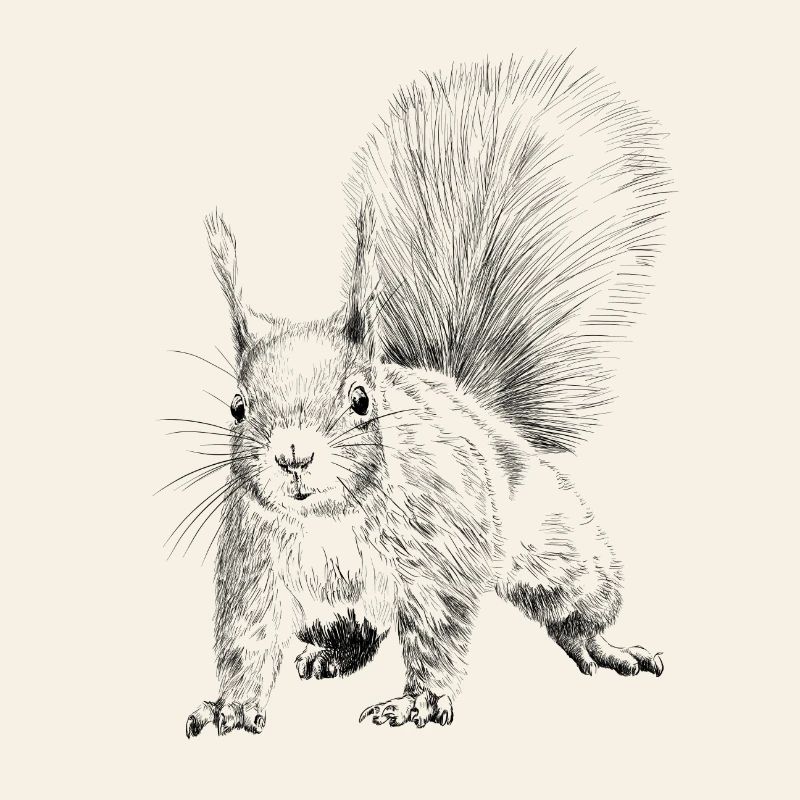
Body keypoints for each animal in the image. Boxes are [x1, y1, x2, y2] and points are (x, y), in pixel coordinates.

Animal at [182, 55, 670, 737]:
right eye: (237, 407)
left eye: (362, 400)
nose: (293, 457)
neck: (328, 519)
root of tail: (467, 397)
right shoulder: (253, 564)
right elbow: (245, 638)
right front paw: (229, 706)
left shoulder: (441, 549)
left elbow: (438, 629)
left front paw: (417, 702)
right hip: (329, 608)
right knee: (356, 633)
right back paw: (330, 655)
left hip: (553, 538)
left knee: (576, 595)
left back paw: (602, 644)